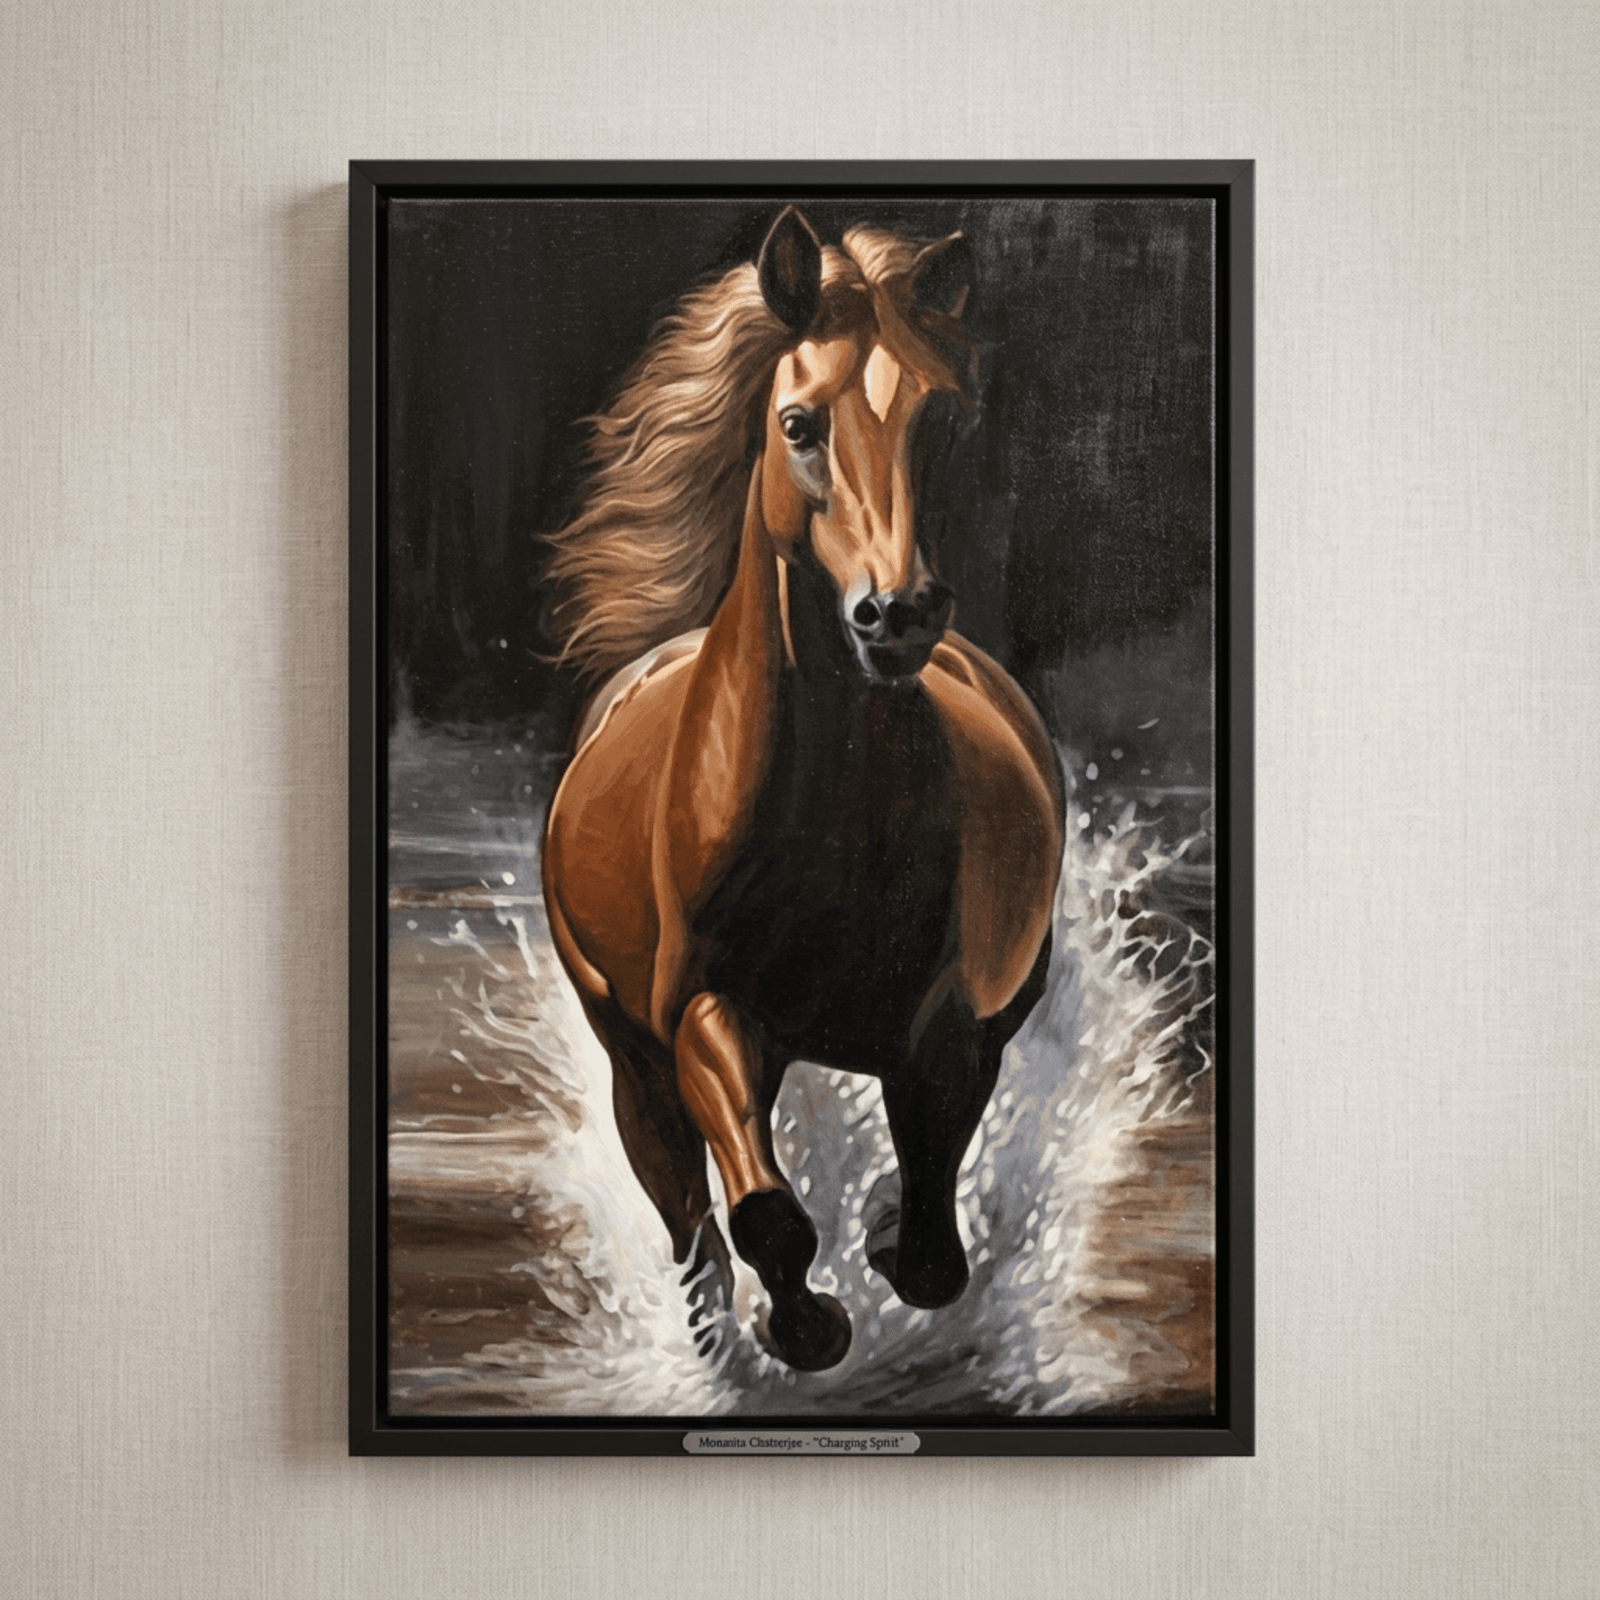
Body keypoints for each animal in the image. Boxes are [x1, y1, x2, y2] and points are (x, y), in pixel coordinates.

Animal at [540, 208, 1065, 1372]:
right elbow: (765, 1215)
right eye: (797, 423)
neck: (833, 822)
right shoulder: (705, 1019)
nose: (897, 613)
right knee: (690, 1223)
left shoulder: (954, 1027)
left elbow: (930, 1237)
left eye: (944, 416)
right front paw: (806, 1324)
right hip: (633, 1062)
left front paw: (881, 1240)